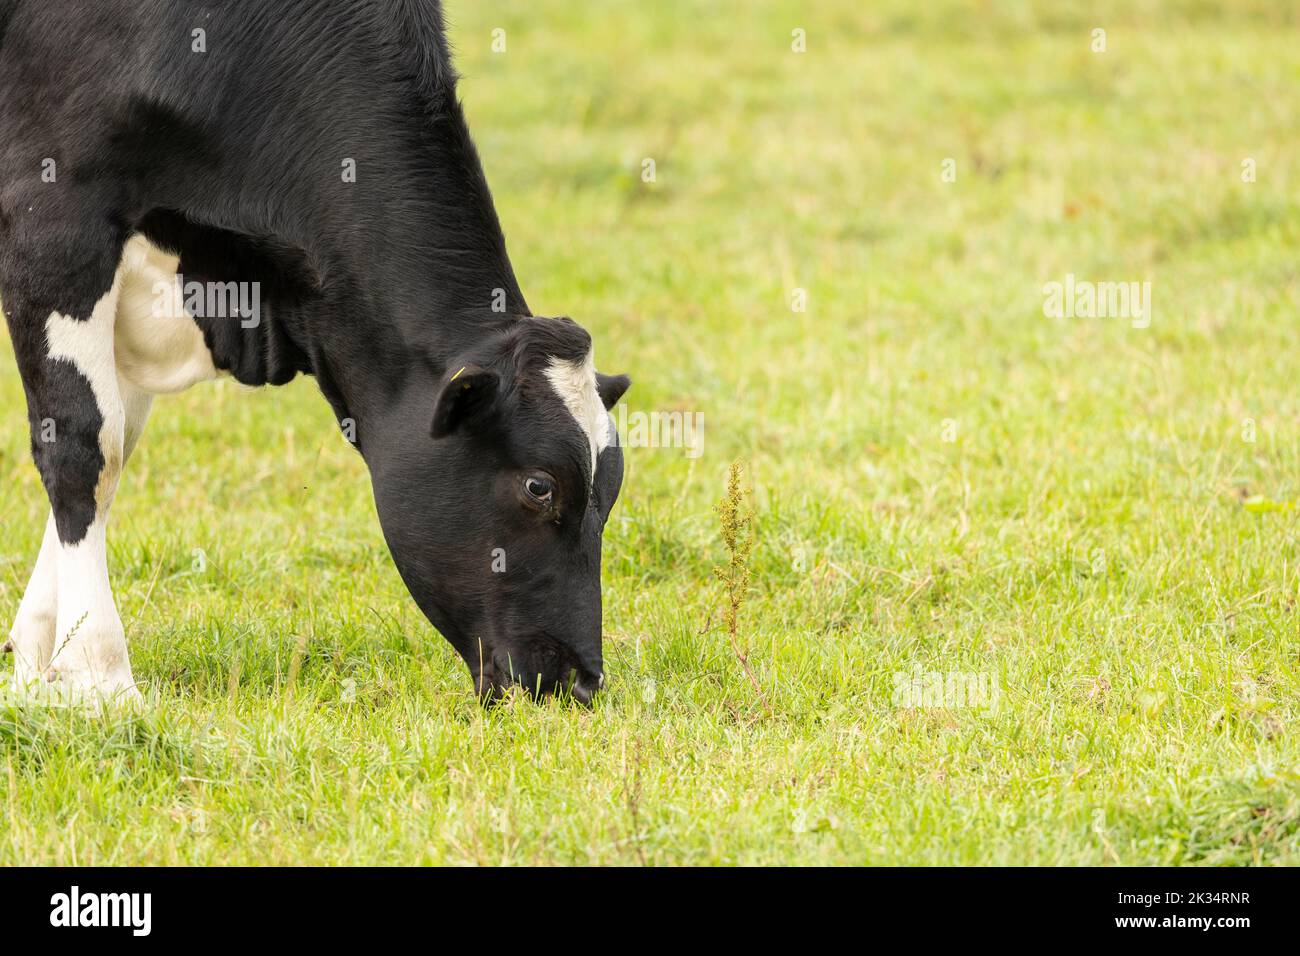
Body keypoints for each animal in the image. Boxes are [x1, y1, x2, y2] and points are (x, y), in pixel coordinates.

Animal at [0, 0, 629, 702]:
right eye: (539, 486)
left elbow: (119, 446)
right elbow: (85, 442)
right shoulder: (55, 214)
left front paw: (38, 662)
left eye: (610, 494)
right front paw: (97, 675)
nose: (581, 681)